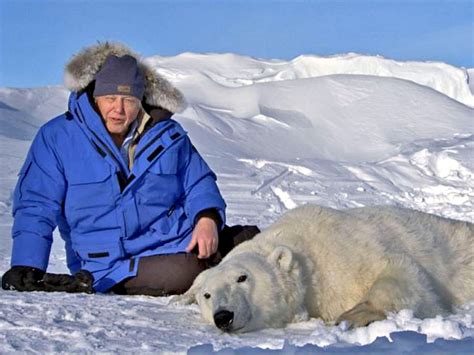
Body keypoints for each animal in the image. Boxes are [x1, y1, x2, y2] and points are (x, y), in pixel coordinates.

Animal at [176, 206, 474, 334]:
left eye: (242, 277)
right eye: (207, 295)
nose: (223, 316)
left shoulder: (350, 251)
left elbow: (404, 273)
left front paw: (352, 315)